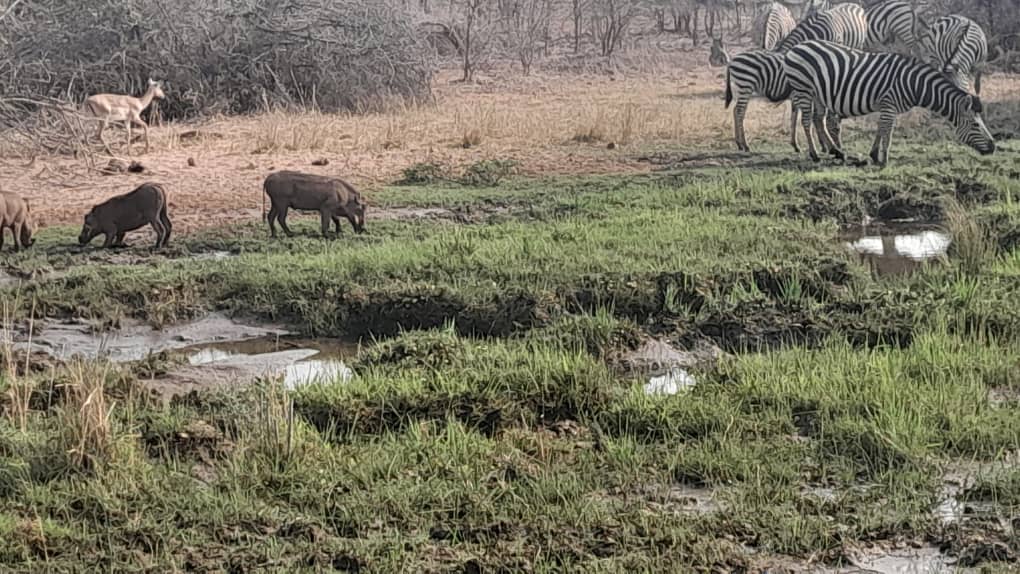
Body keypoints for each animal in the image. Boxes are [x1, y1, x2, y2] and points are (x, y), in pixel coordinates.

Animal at [783, 40, 995, 166]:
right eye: (975, 125)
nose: (993, 148)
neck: (914, 83)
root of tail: (797, 47)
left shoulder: (887, 106)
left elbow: (881, 128)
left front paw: (874, 155)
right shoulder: (889, 103)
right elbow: (888, 131)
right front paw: (884, 160)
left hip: (817, 93)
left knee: (818, 120)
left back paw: (838, 152)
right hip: (803, 88)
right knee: (807, 121)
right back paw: (814, 154)